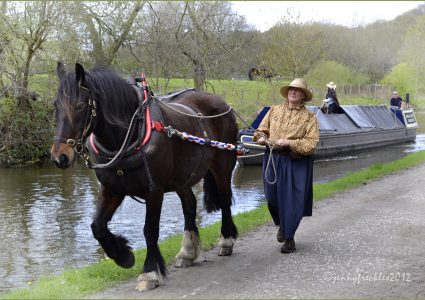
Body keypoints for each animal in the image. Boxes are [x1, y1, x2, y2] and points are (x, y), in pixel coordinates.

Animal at [51, 62, 237, 290]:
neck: (130, 133)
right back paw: (187, 252)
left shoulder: (154, 191)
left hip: (222, 166)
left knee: (225, 199)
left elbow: (150, 230)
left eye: (79, 106)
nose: (60, 156)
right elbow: (97, 226)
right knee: (190, 206)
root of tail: (221, 102)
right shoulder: (112, 189)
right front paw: (123, 255)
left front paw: (149, 272)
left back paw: (226, 240)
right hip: (182, 177)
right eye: (56, 105)